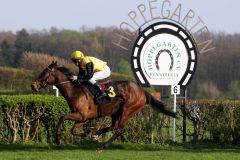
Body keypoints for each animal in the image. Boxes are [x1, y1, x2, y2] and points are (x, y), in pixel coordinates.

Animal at [31, 61, 176, 150]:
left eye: (44, 73)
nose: (33, 85)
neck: (75, 91)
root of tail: (142, 91)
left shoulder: (81, 115)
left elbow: (62, 117)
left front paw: (58, 139)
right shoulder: (83, 118)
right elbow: (73, 130)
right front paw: (88, 133)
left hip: (128, 110)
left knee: (119, 129)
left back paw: (102, 146)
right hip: (116, 111)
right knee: (114, 126)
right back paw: (96, 134)